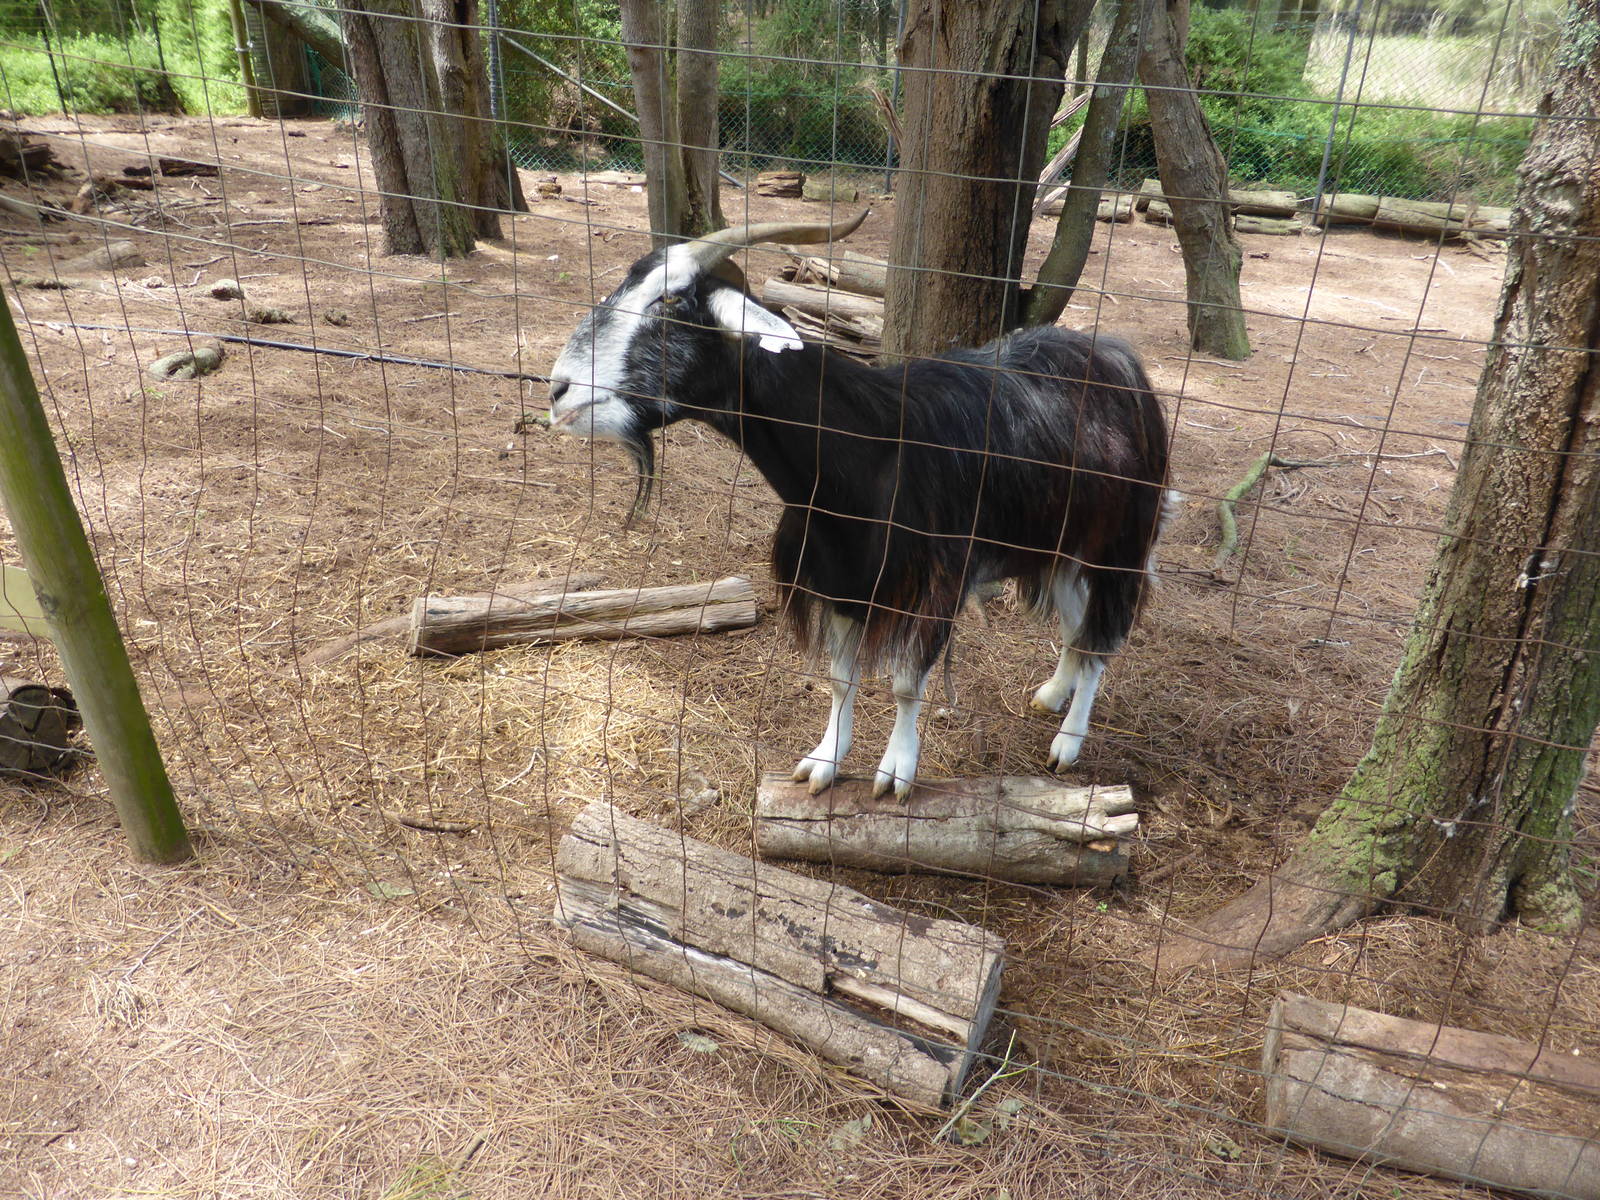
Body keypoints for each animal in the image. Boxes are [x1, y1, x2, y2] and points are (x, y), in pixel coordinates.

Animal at [546, 212, 1173, 799]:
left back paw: (1068, 742)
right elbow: (839, 679)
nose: (558, 392)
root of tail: (1120, 358)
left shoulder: (933, 585)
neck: (869, 448)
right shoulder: (839, 578)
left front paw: (896, 771)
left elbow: (905, 683)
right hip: (1060, 542)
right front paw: (824, 761)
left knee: (1104, 634)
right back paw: (1052, 693)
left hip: (1120, 542)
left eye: (673, 303)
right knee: (1078, 623)